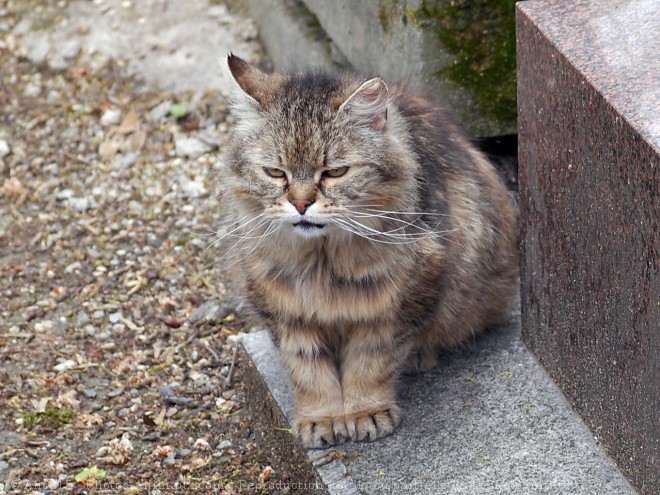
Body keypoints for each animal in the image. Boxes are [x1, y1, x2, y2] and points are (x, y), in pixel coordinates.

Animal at [219, 53, 520, 450]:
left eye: (335, 172)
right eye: (275, 173)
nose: (300, 204)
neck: (322, 262)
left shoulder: (397, 303)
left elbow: (371, 362)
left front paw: (366, 412)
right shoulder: (284, 309)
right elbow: (308, 371)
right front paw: (323, 419)